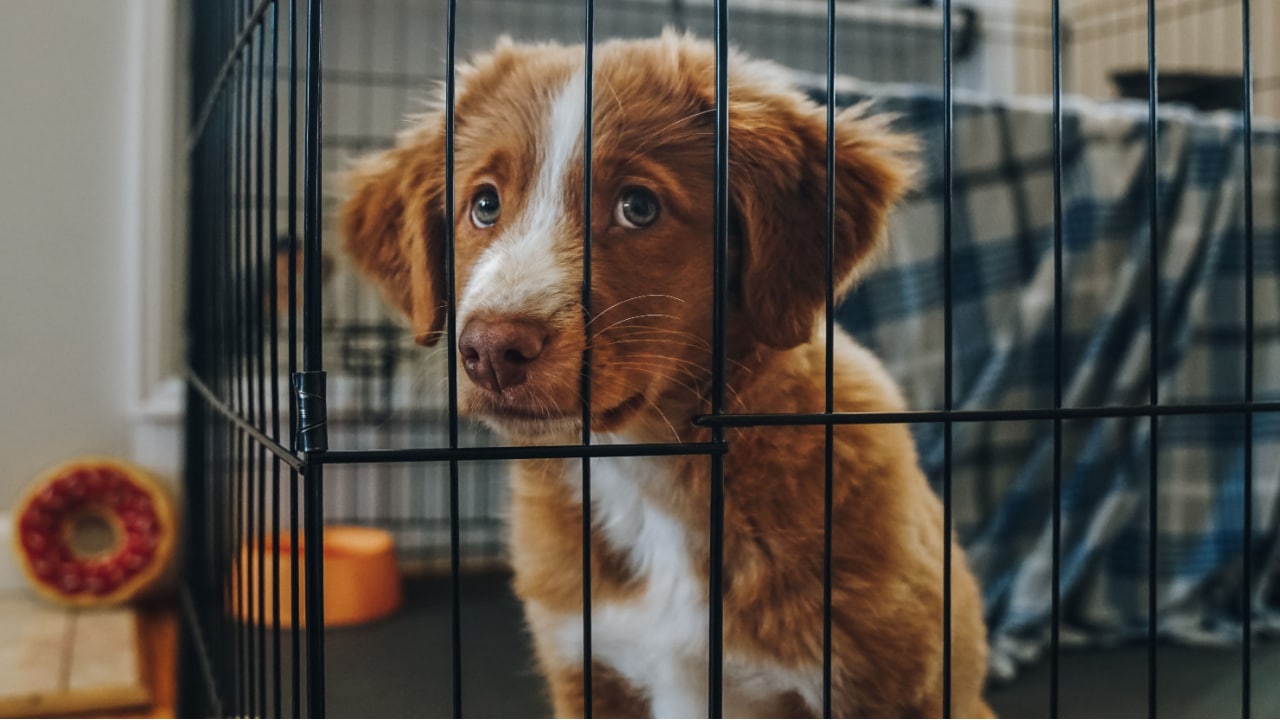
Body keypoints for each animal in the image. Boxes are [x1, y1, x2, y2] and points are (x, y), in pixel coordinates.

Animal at [340, 30, 988, 712]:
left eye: (639, 208)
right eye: (485, 204)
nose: (491, 351)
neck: (642, 464)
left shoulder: (888, 687)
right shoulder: (586, 669)